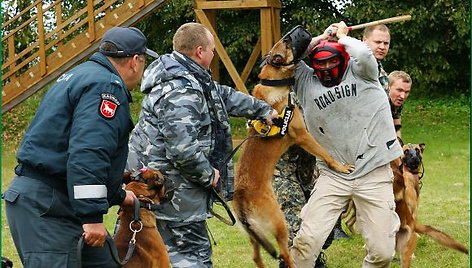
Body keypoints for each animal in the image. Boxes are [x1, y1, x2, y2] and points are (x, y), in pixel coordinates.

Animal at [232, 25, 354, 268]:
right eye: (287, 40)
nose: (301, 28)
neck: (274, 81)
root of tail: (241, 199)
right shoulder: (303, 135)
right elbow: (325, 153)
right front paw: (340, 166)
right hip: (280, 222)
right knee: (285, 253)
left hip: (255, 236)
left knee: (257, 256)